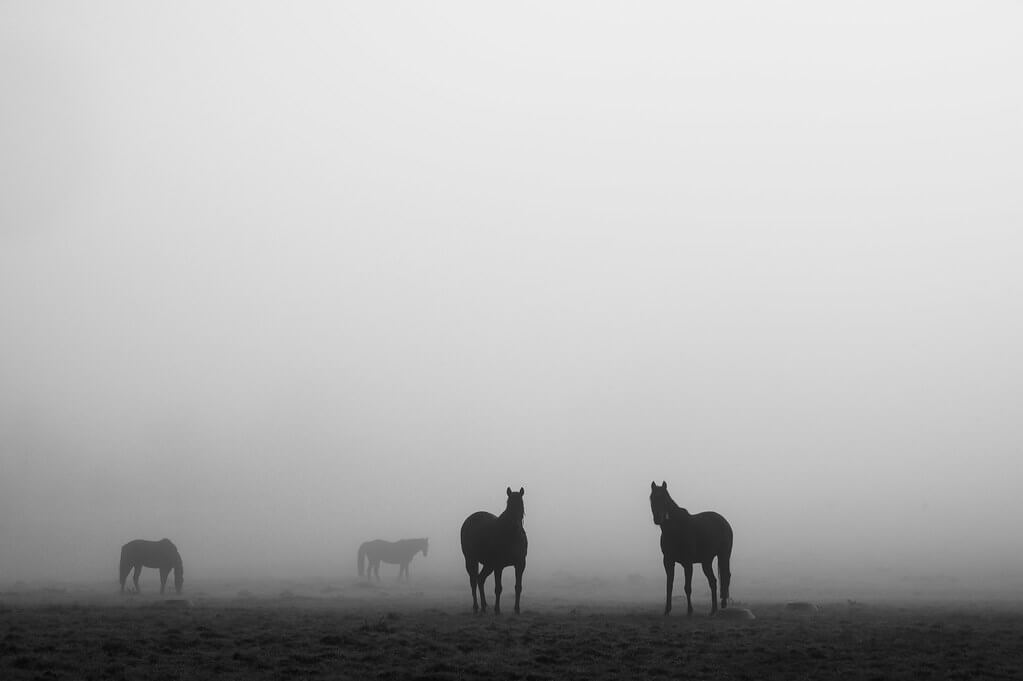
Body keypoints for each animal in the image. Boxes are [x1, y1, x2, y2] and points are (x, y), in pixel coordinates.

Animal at [460, 486, 528, 615]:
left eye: (521, 505)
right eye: (509, 504)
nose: (517, 526)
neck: (511, 536)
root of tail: (468, 520)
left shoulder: (520, 564)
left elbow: (518, 587)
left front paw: (517, 609)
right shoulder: (498, 566)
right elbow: (498, 588)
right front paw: (497, 610)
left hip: (488, 564)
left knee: (480, 579)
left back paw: (484, 605)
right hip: (471, 560)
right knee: (473, 581)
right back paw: (476, 607)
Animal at [649, 481, 733, 616]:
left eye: (665, 499)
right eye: (652, 498)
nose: (658, 519)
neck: (675, 529)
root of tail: (724, 522)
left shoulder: (687, 563)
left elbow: (687, 587)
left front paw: (689, 610)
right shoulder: (668, 561)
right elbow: (669, 585)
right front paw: (667, 610)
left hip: (724, 556)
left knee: (725, 576)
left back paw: (723, 604)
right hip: (706, 562)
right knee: (713, 581)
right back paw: (713, 609)